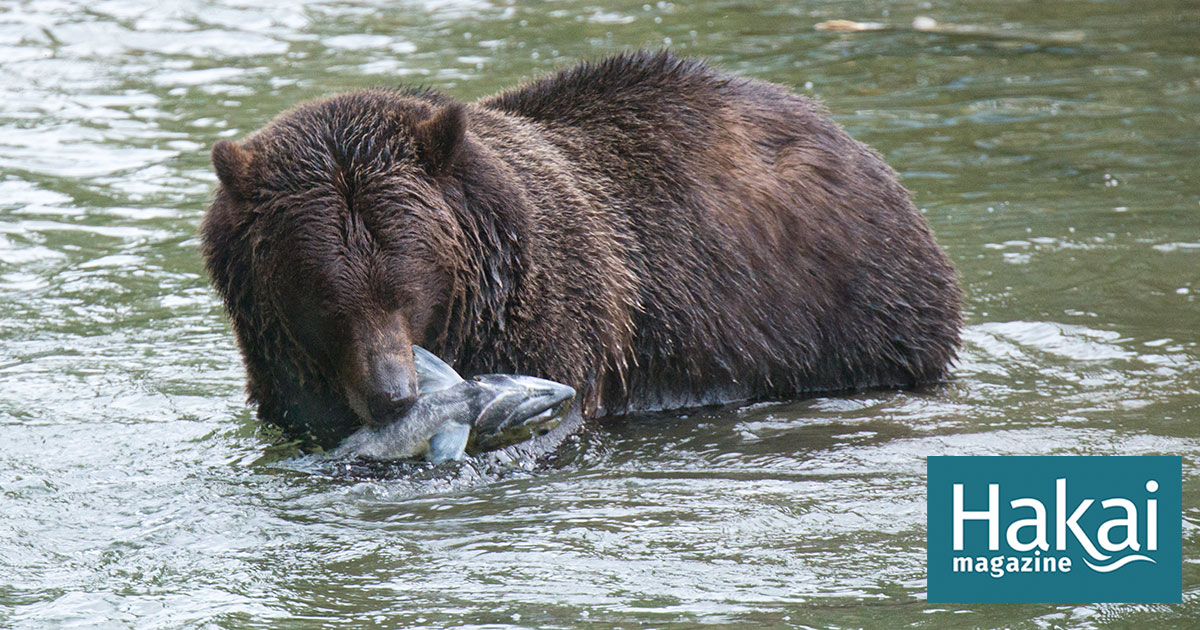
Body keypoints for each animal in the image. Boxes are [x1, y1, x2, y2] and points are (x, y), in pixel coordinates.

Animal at [201, 51, 960, 448]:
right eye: (323, 295)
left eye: (406, 286)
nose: (393, 396)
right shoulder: (286, 373)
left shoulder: (555, 323)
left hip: (838, 310)